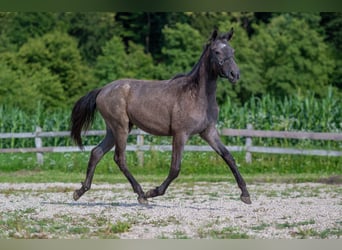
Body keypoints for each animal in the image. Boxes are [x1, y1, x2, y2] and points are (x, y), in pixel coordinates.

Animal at [70, 28, 251, 205]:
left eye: (232, 51)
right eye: (217, 51)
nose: (235, 74)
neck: (197, 95)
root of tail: (102, 90)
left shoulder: (208, 132)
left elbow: (229, 157)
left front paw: (245, 194)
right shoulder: (180, 134)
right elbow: (175, 168)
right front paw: (153, 192)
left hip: (114, 130)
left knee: (96, 152)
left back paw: (80, 191)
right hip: (120, 128)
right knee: (119, 158)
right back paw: (141, 194)